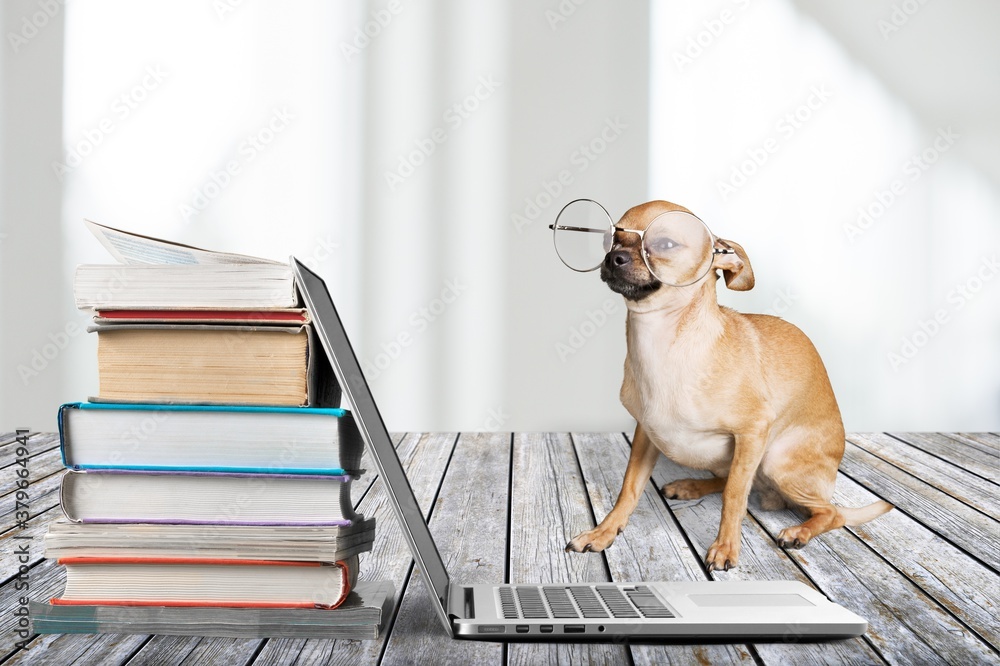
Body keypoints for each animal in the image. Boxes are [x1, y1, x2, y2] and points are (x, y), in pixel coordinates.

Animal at [564, 200, 892, 568]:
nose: (613, 257)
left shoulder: (753, 432)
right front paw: (603, 531)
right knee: (728, 479)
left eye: (664, 244)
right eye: (609, 239)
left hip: (775, 459)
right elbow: (629, 488)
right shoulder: (645, 435)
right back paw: (691, 486)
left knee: (831, 512)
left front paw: (725, 547)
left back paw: (799, 531)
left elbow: (735, 496)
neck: (664, 342)